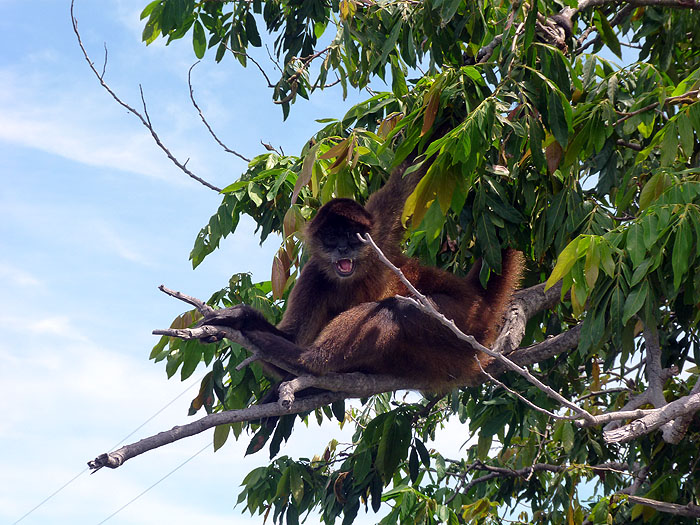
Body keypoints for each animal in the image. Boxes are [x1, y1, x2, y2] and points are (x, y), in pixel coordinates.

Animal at [200, 158, 524, 390]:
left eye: (351, 236)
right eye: (332, 237)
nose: (343, 248)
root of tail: (480, 299)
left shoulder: (378, 230)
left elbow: (411, 173)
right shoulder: (314, 274)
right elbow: (292, 334)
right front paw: (240, 317)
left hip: (466, 322)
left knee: (396, 309)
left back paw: (307, 361)